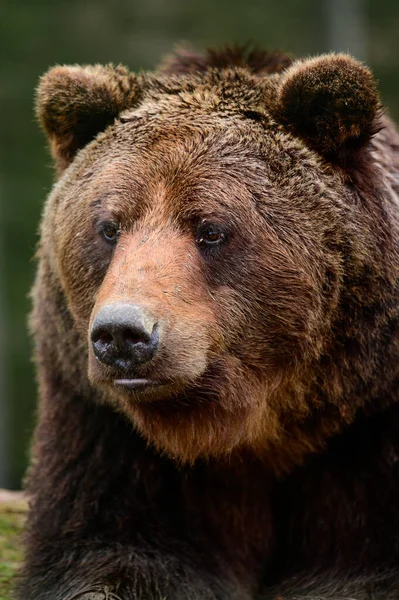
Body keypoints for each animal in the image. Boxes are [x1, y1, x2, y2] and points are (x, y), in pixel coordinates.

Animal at [18, 47, 399, 600]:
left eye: (210, 228)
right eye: (109, 226)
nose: (123, 334)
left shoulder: (368, 426)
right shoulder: (106, 435)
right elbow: (108, 557)